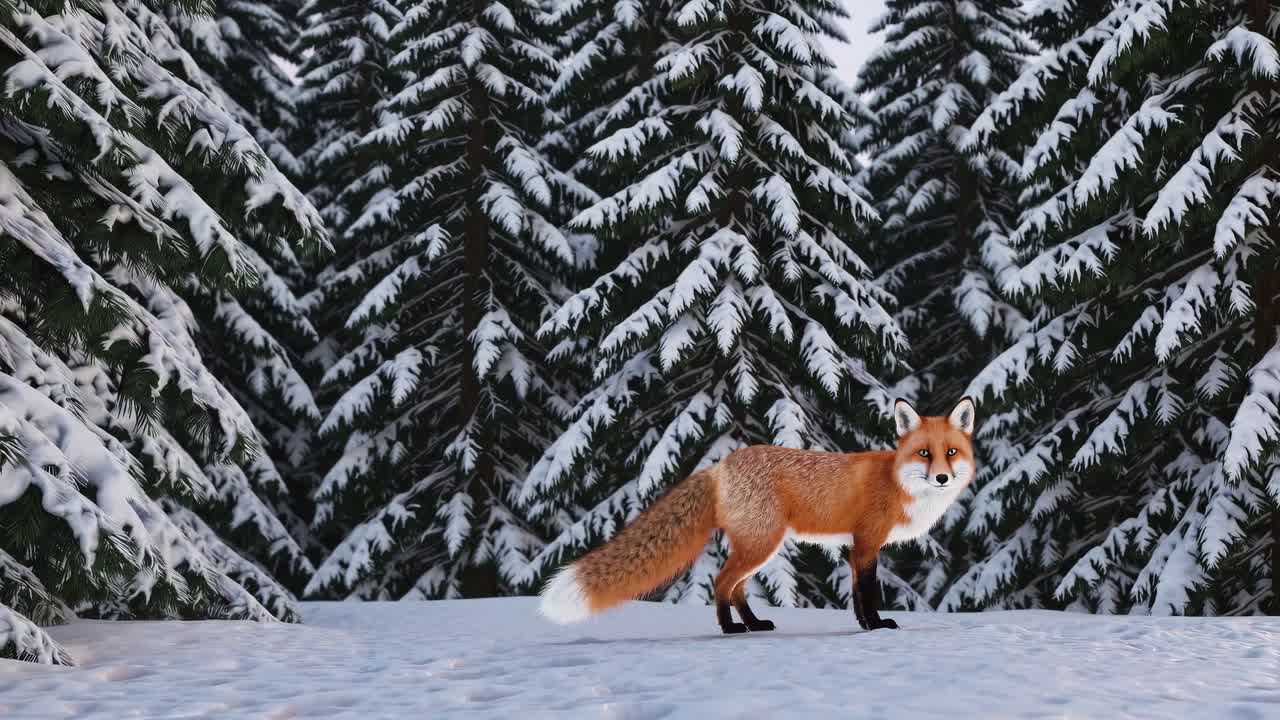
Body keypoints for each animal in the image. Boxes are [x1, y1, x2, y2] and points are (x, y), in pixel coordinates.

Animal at [538, 396, 977, 634]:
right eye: (924, 453)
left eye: (951, 453)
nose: (942, 477)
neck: (896, 480)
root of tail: (721, 465)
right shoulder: (867, 544)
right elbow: (867, 594)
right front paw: (877, 626)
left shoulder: (855, 549)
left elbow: (855, 597)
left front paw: (865, 627)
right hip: (761, 545)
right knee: (721, 583)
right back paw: (730, 628)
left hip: (760, 547)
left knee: (736, 589)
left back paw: (752, 624)